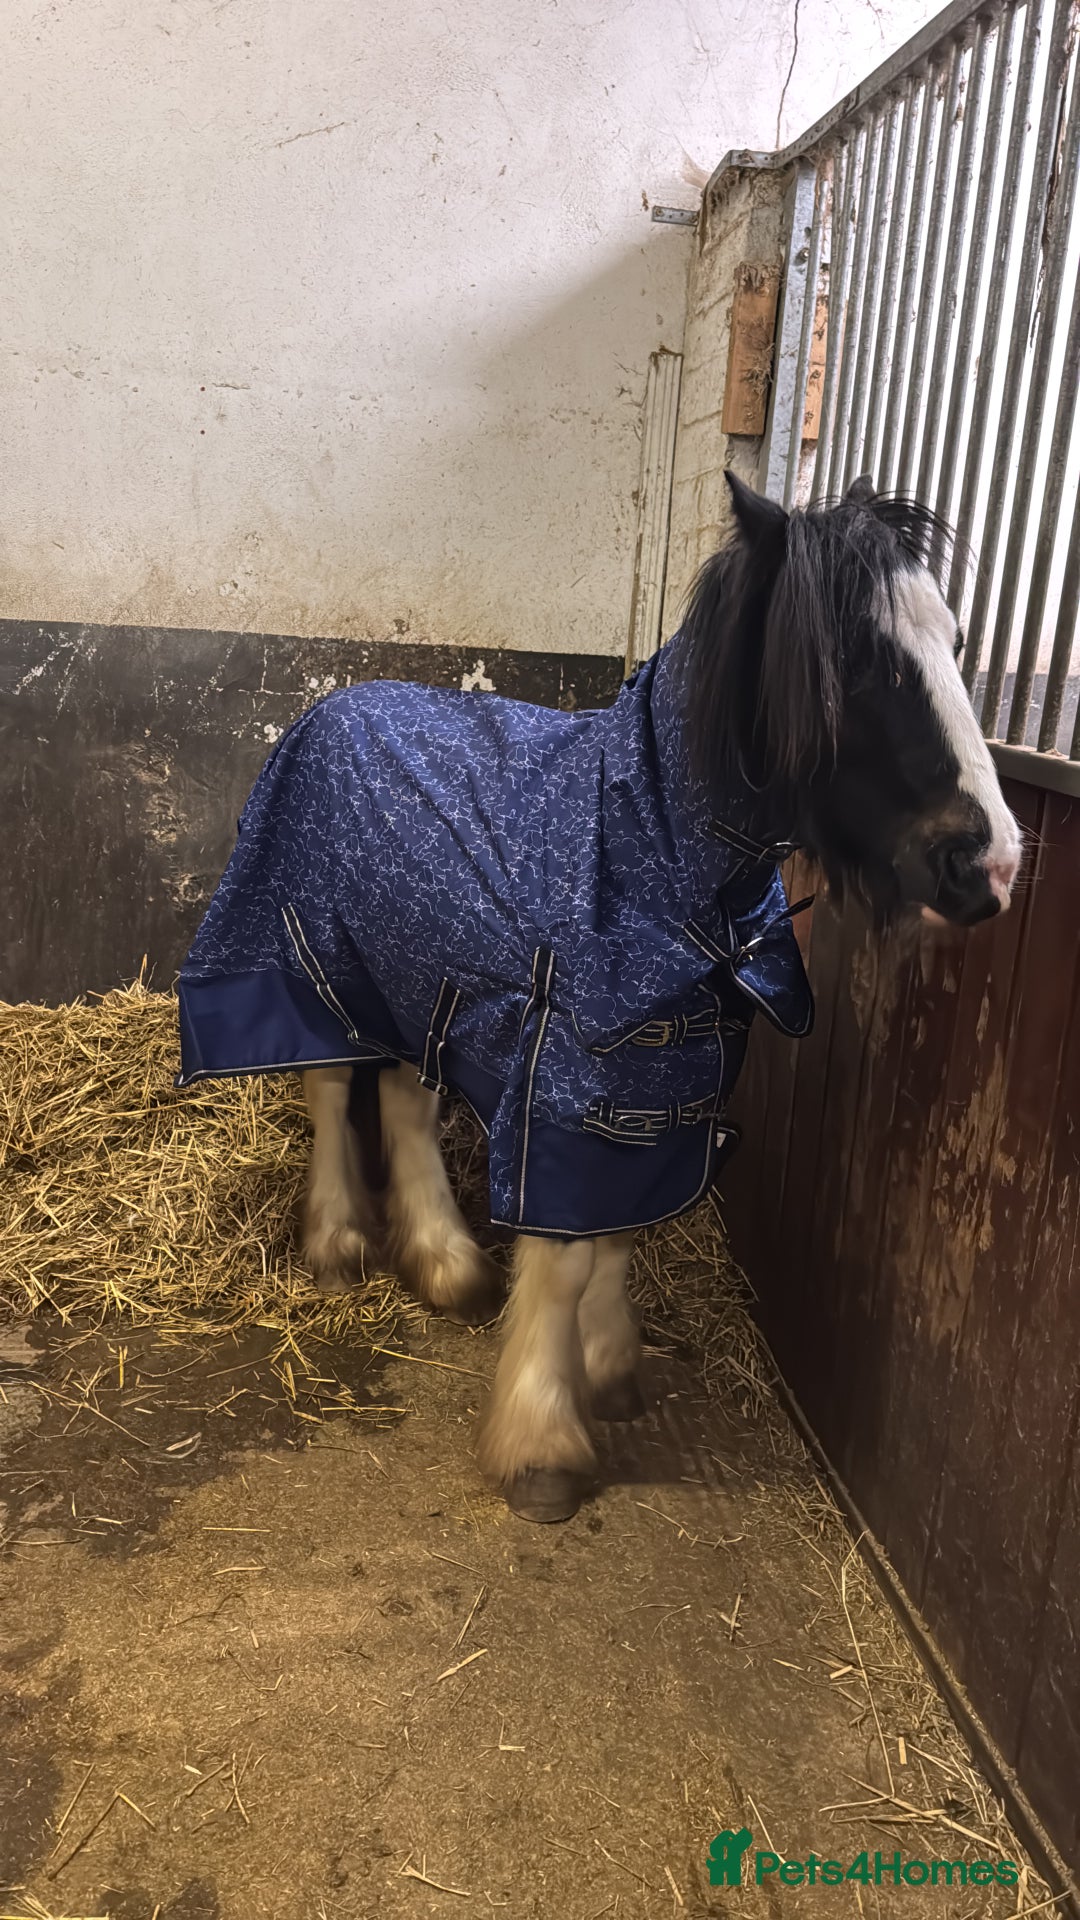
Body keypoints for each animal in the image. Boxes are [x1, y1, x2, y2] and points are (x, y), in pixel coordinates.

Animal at [176, 473, 1021, 1524]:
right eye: (852, 664)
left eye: (956, 643)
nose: (986, 865)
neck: (645, 845)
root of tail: (331, 707)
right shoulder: (574, 1081)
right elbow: (571, 1252)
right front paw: (543, 1443)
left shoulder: (668, 1075)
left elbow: (622, 1231)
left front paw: (611, 1369)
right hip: (313, 965)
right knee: (332, 1087)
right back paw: (336, 1247)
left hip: (427, 983)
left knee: (406, 1100)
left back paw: (448, 1265)